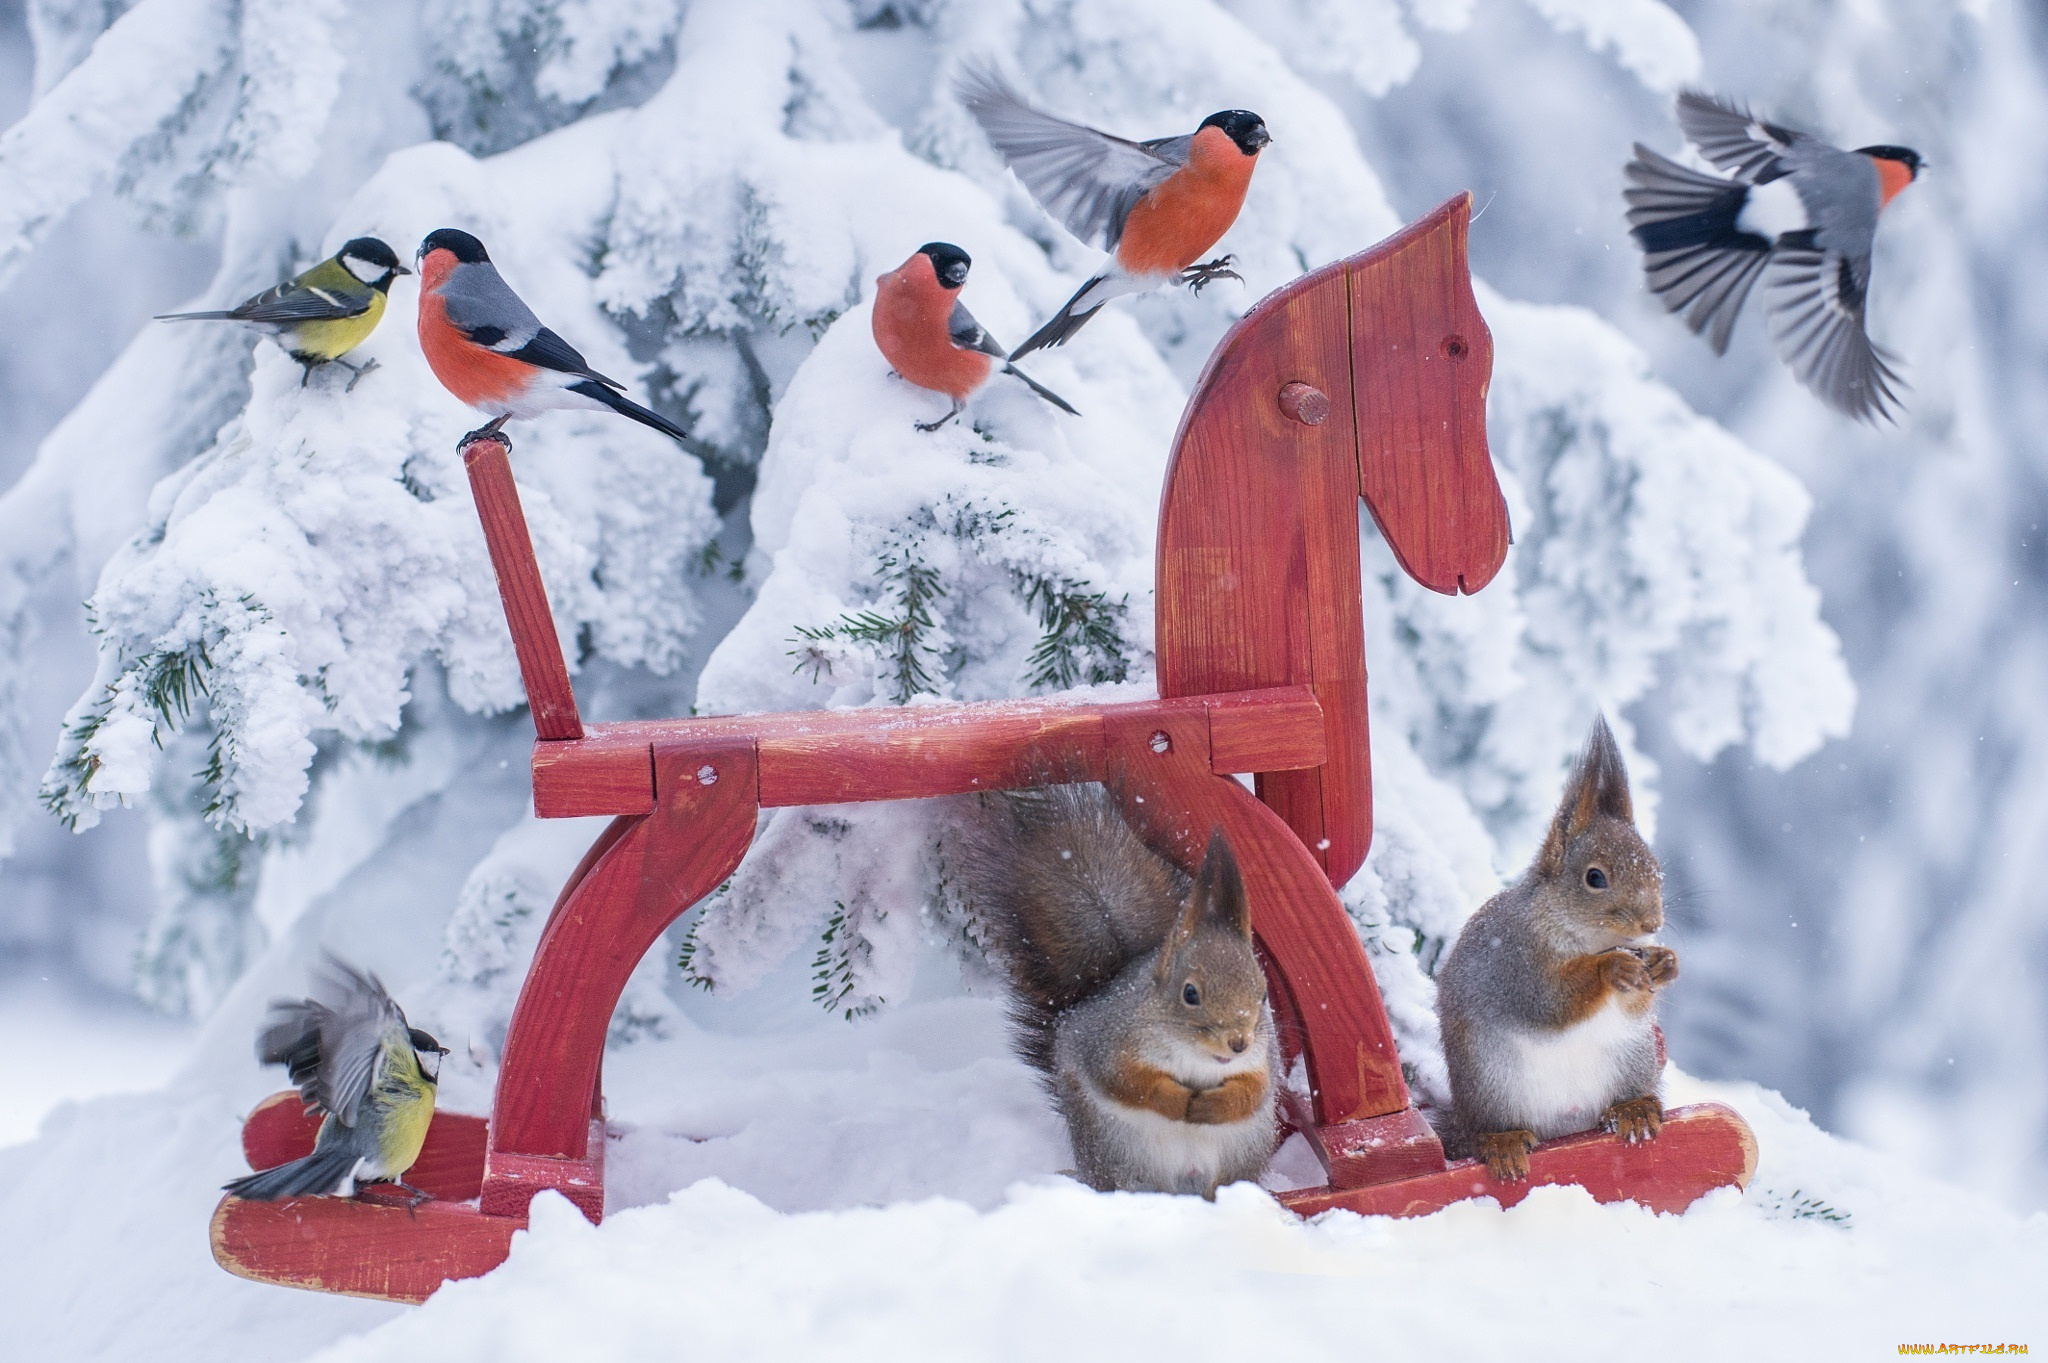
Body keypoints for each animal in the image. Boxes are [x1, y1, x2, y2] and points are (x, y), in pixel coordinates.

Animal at [959, 781, 1279, 1197]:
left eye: (1263, 994)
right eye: (1190, 994)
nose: (1238, 1043)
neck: (1194, 1058)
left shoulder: (1261, 1061)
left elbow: (1252, 1093)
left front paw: (1212, 1106)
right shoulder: (1107, 1043)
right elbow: (1128, 1084)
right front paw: (1179, 1101)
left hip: (1241, 1156)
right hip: (1114, 1150)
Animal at [1434, 715, 1678, 1181]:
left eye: (1656, 867)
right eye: (1595, 877)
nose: (1652, 924)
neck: (1591, 939)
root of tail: (1567, 1128)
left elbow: (1636, 1003)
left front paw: (1665, 962)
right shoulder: (1514, 964)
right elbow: (1549, 1003)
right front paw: (1612, 969)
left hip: (1634, 1058)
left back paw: (1634, 1109)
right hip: (1491, 1082)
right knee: (1484, 1133)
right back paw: (1504, 1141)